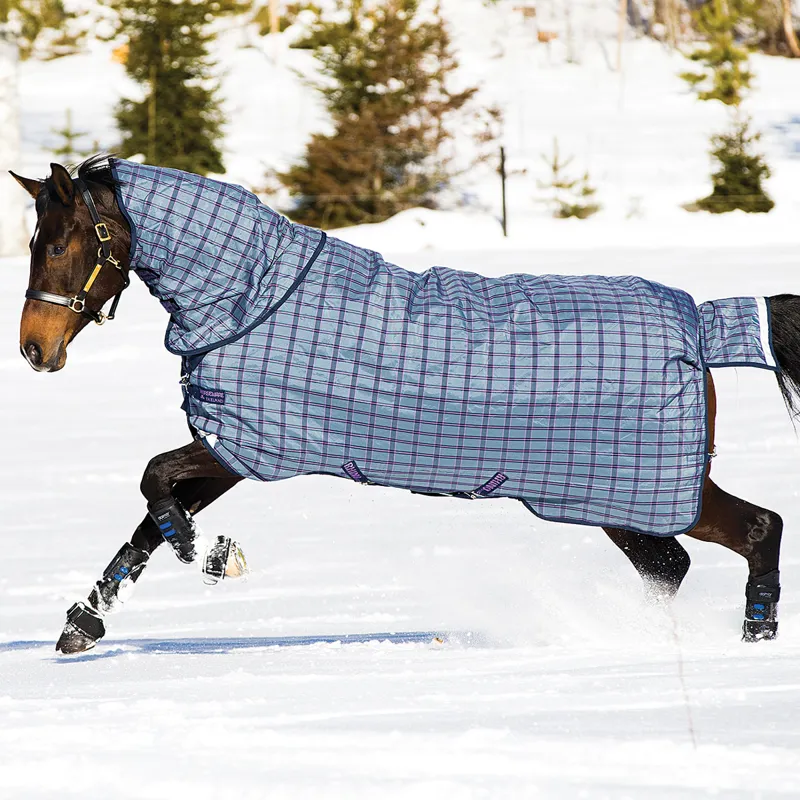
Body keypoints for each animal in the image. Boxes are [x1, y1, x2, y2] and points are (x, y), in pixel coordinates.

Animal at [11, 156, 800, 655]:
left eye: (60, 245)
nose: (33, 348)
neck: (258, 299)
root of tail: (700, 324)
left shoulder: (244, 446)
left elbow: (154, 485)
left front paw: (203, 551)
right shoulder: (232, 446)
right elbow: (145, 519)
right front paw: (83, 624)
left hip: (647, 489)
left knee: (756, 529)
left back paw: (752, 638)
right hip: (616, 499)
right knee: (676, 564)